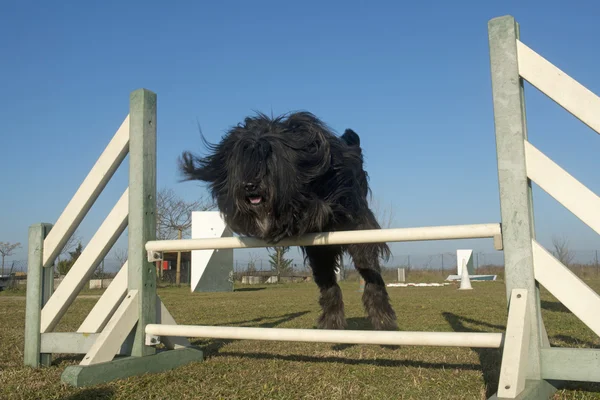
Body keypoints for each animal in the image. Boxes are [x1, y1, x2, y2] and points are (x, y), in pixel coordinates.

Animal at [178, 112, 398, 332]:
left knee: (371, 274)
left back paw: (383, 320)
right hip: (320, 254)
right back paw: (332, 322)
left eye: (267, 159)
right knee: (329, 285)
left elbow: (315, 209)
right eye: (243, 162)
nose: (250, 185)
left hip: (360, 238)